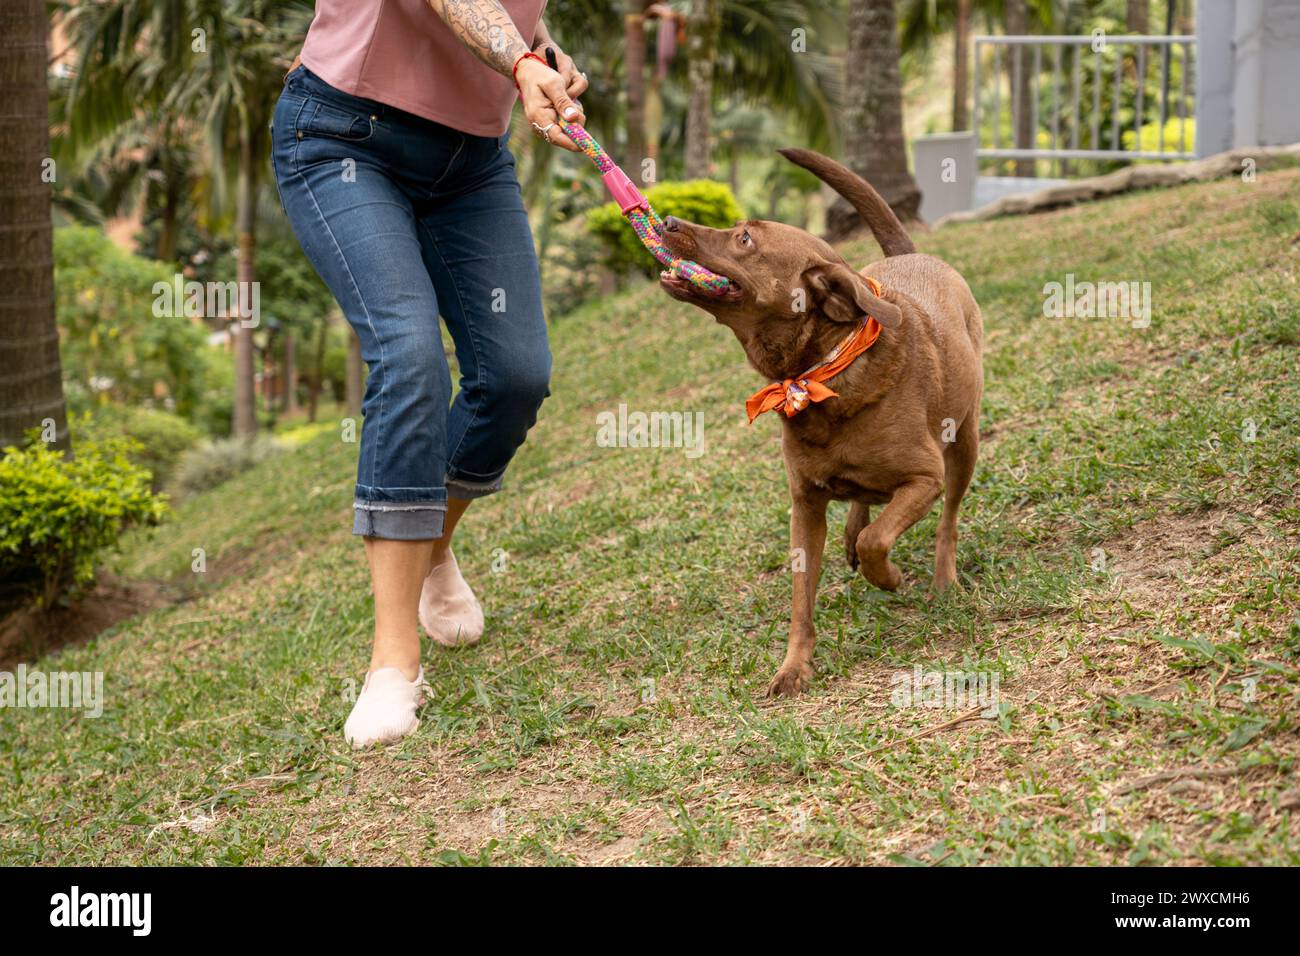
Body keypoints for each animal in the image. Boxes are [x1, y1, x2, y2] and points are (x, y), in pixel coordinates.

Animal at [660, 151, 982, 702]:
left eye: (745, 239)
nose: (667, 220)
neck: (818, 373)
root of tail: (913, 254)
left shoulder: (925, 479)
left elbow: (880, 541)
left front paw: (890, 577)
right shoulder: (805, 506)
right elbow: (801, 602)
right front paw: (795, 668)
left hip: (965, 444)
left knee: (947, 521)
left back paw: (942, 581)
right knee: (864, 510)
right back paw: (854, 529)